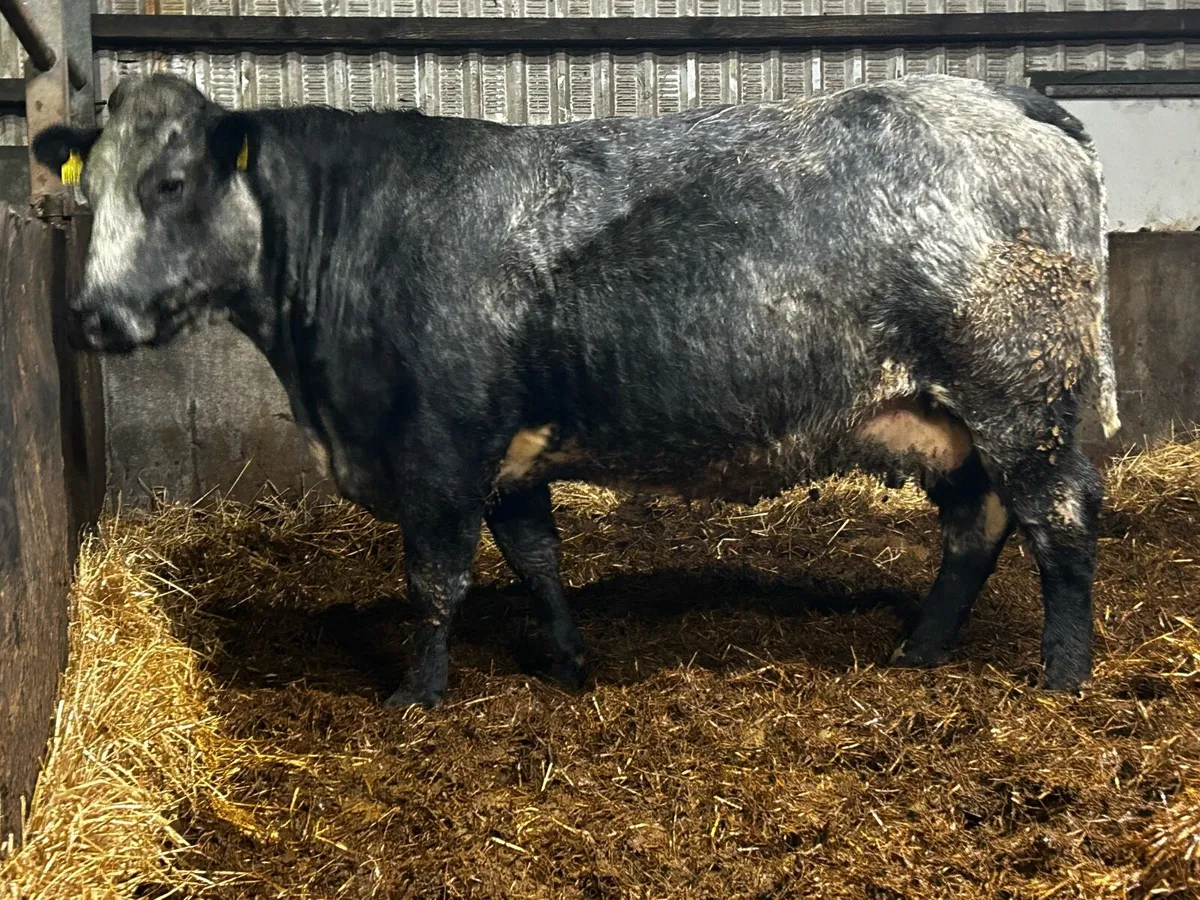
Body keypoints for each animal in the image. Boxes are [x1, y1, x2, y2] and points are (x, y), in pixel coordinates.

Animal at [32, 71, 1120, 709]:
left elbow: (436, 579)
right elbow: (536, 559)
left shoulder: (440, 444)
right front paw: (566, 664)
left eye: (171, 184)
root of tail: (1006, 98)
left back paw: (1062, 677)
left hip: (1022, 394)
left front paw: (417, 700)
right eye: (88, 191)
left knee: (1058, 522)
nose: (91, 317)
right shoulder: (509, 452)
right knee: (976, 526)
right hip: (946, 415)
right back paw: (920, 651)